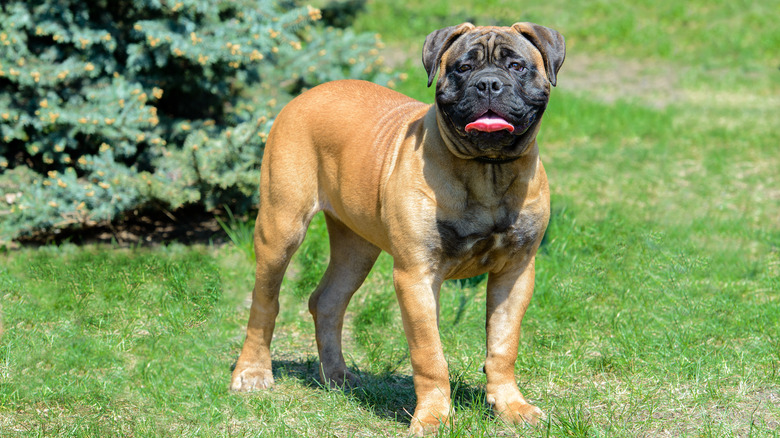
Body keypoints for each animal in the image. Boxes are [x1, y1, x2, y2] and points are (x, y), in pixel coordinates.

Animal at [229, 21, 564, 434]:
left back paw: (337, 376)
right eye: (463, 68)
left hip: (356, 247)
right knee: (264, 303)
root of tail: (306, 94)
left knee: (327, 300)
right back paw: (253, 373)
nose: (488, 83)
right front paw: (434, 417)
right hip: (281, 228)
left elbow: (503, 345)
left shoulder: (515, 272)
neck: (487, 169)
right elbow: (429, 354)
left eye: (516, 66)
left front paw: (511, 406)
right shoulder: (416, 275)